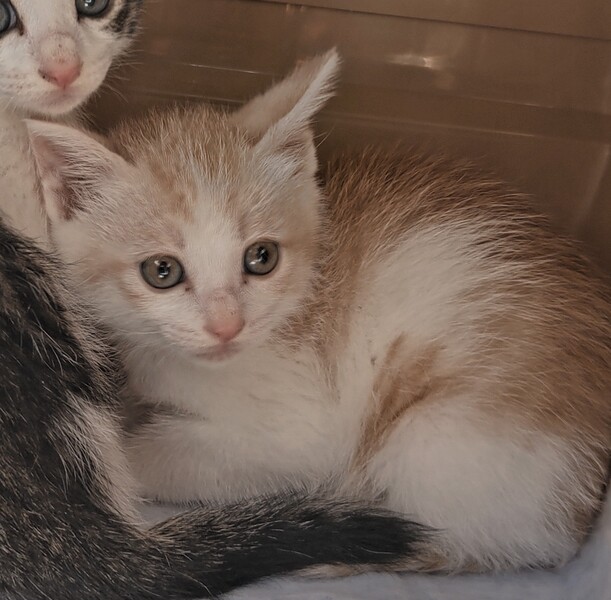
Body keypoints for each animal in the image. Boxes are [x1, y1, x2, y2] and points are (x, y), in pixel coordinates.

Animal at [27, 49, 611, 575]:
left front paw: (123, 455)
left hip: (430, 442)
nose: (227, 326)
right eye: (162, 271)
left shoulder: (301, 431)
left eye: (261, 258)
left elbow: (174, 456)